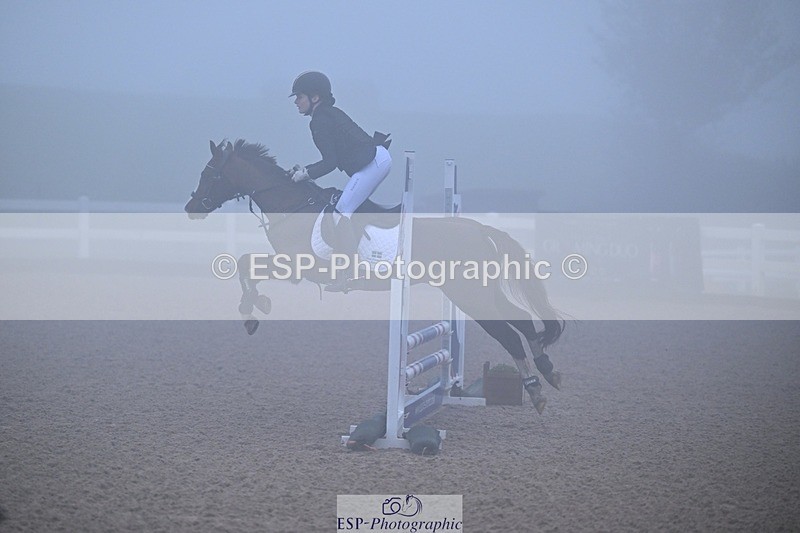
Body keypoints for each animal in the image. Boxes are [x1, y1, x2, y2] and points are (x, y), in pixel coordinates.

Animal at [184, 139, 565, 412]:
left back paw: (536, 391)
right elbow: (245, 263)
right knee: (524, 322)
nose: (190, 208)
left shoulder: (294, 266)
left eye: (210, 175)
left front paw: (252, 310)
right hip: (480, 291)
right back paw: (547, 371)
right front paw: (255, 306)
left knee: (510, 335)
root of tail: (478, 229)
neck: (293, 204)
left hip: (468, 294)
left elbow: (246, 264)